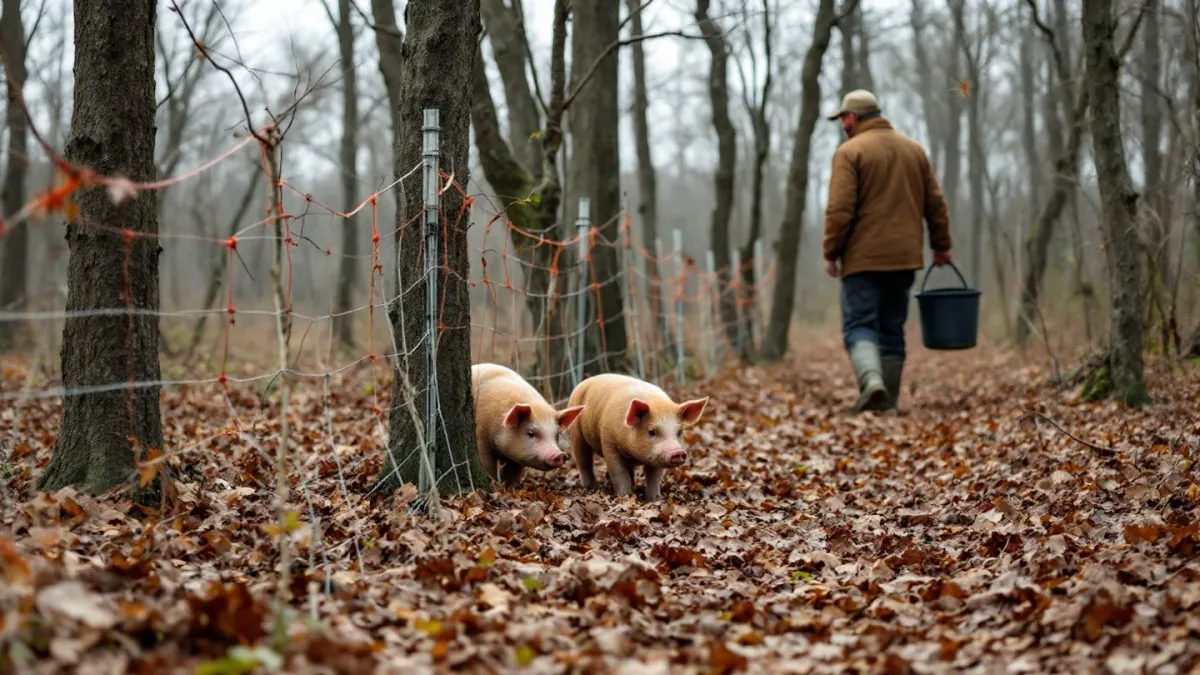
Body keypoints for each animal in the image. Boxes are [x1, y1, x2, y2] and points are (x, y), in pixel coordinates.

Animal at [566, 373, 709, 500]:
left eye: (679, 432)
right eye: (651, 431)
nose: (677, 452)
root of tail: (583, 382)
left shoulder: (657, 457)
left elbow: (654, 477)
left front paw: (655, 499)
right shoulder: (608, 442)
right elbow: (618, 472)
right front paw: (624, 496)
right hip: (575, 433)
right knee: (583, 460)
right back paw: (592, 486)